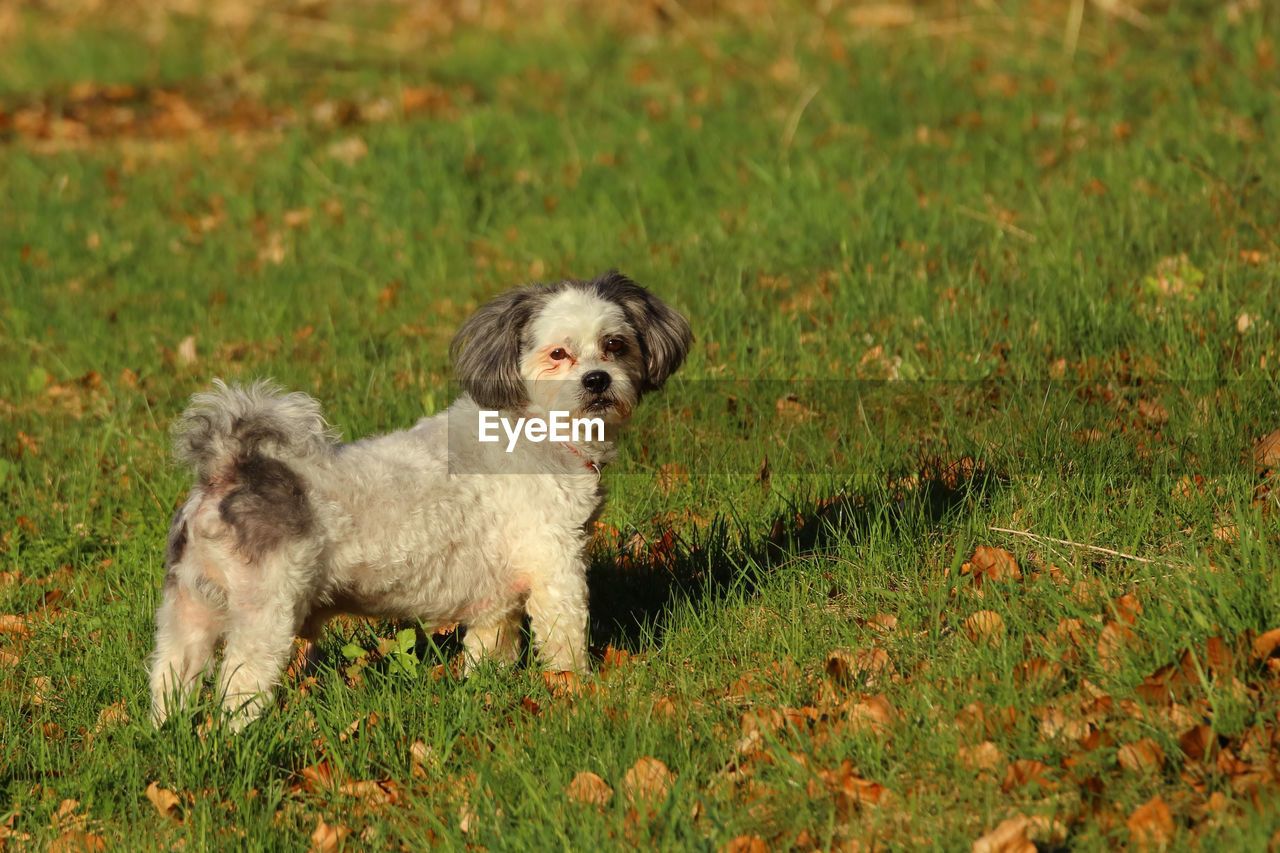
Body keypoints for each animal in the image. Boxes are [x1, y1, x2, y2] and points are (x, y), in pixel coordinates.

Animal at [148, 270, 691, 722]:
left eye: (615, 344)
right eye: (559, 354)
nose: (598, 379)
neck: (536, 428)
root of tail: (229, 466)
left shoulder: (496, 594)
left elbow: (490, 647)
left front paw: (485, 690)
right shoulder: (555, 563)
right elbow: (565, 636)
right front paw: (575, 689)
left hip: (188, 608)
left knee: (170, 675)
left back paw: (167, 732)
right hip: (264, 615)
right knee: (238, 689)